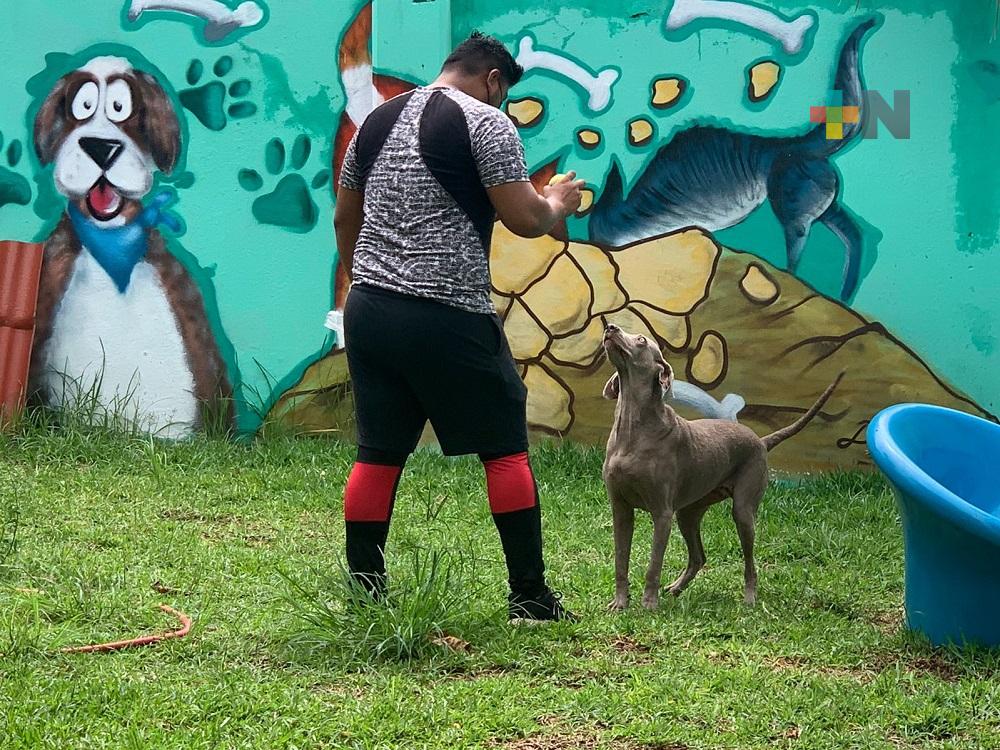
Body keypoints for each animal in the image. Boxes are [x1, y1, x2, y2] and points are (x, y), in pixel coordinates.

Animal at [600, 324, 844, 612]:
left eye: (640, 339)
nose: (610, 326)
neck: (632, 428)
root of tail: (761, 441)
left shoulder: (662, 513)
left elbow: (653, 565)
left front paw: (649, 603)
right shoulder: (621, 509)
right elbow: (620, 561)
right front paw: (619, 603)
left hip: (743, 510)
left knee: (750, 564)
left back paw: (749, 598)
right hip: (688, 513)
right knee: (698, 557)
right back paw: (676, 588)